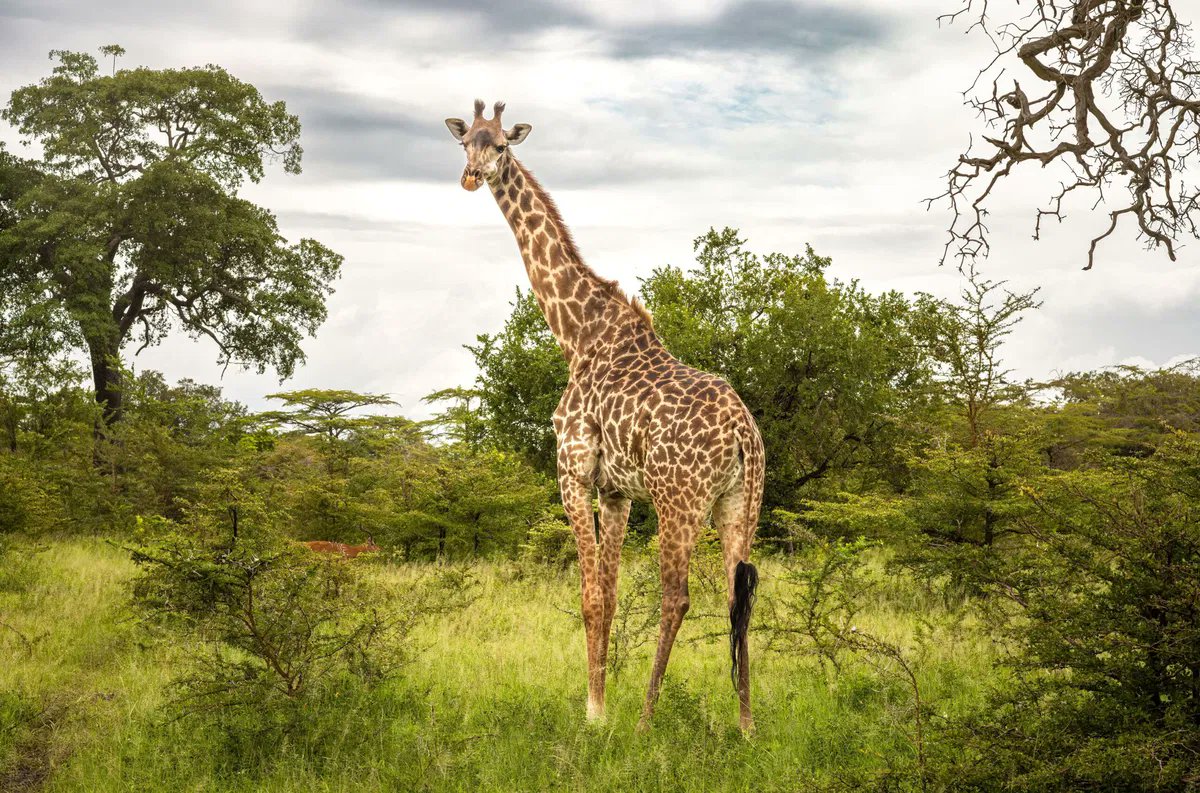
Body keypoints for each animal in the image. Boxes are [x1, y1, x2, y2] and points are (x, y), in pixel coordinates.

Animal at [445, 100, 764, 731]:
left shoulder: (573, 470)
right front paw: (601, 702)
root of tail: (745, 431)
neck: (576, 333)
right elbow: (611, 597)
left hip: (678, 500)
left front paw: (595, 714)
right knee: (737, 595)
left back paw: (646, 717)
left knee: (678, 596)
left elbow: (590, 596)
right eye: (466, 141)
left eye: (502, 146)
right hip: (739, 502)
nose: (471, 176)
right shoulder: (617, 490)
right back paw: (744, 725)